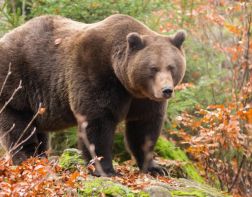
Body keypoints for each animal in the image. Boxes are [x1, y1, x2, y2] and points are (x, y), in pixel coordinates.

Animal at [0, 14, 185, 175]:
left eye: (171, 67)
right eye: (153, 68)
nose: (166, 90)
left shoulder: (144, 99)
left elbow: (144, 127)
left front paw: (155, 167)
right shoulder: (95, 72)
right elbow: (97, 121)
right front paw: (105, 169)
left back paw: (40, 157)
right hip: (17, 82)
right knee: (18, 125)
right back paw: (27, 158)